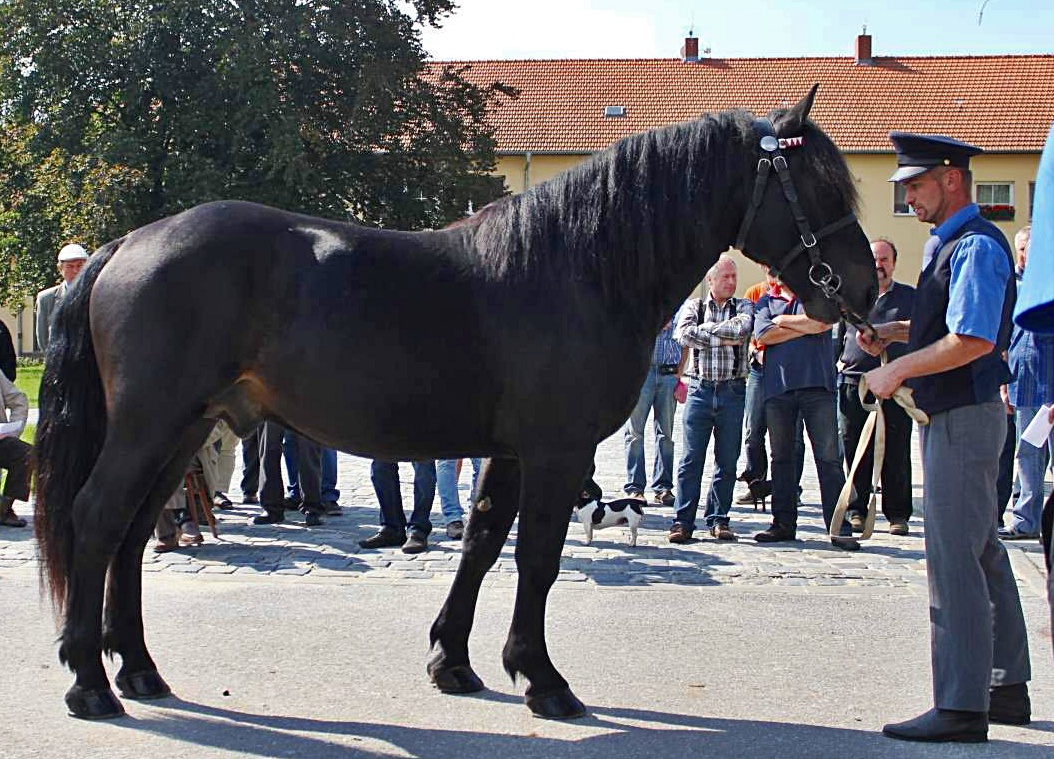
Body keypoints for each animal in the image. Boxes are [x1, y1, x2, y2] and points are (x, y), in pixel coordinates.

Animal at [32, 85, 876, 721]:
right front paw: (542, 679)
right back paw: (89, 681)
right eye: (820, 187)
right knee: (98, 519)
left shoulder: (509, 451)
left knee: (134, 533)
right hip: (150, 424)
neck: (577, 265)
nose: (864, 289)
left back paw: (139, 669)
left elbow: (481, 541)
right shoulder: (557, 450)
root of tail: (129, 243)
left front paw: (455, 660)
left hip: (184, 428)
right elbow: (537, 557)